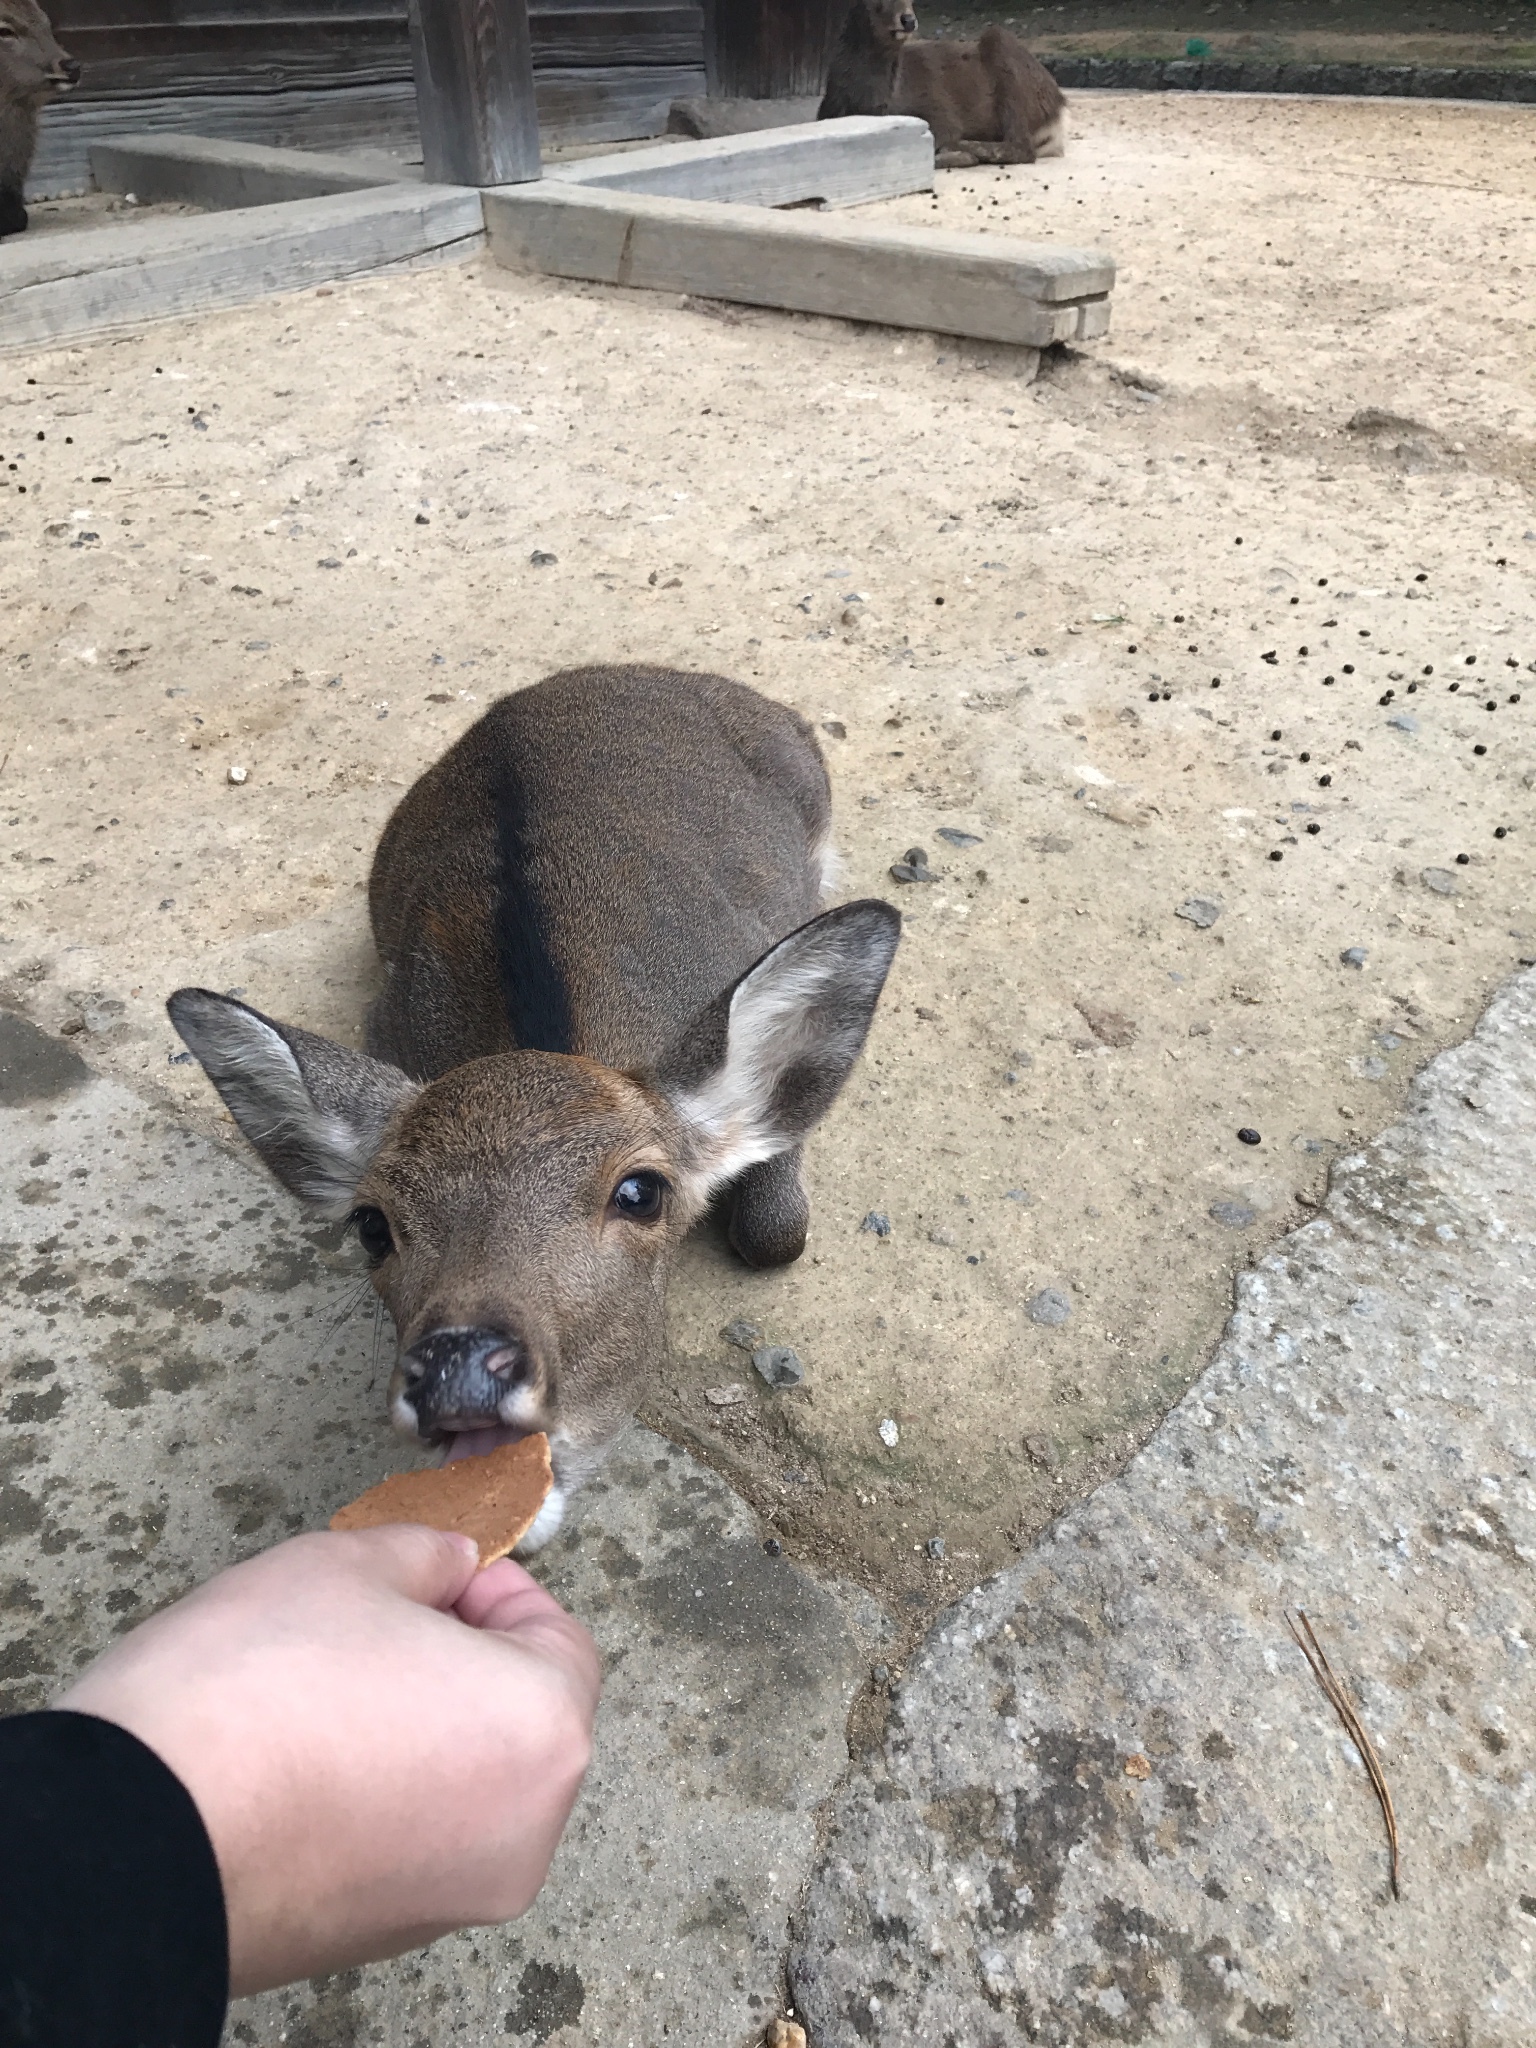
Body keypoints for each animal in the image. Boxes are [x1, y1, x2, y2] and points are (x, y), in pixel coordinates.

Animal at [823, 0, 1064, 169]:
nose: (908, 20)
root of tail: (1059, 107)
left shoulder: (940, 111)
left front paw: (958, 155)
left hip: (1003, 50)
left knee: (1022, 147)